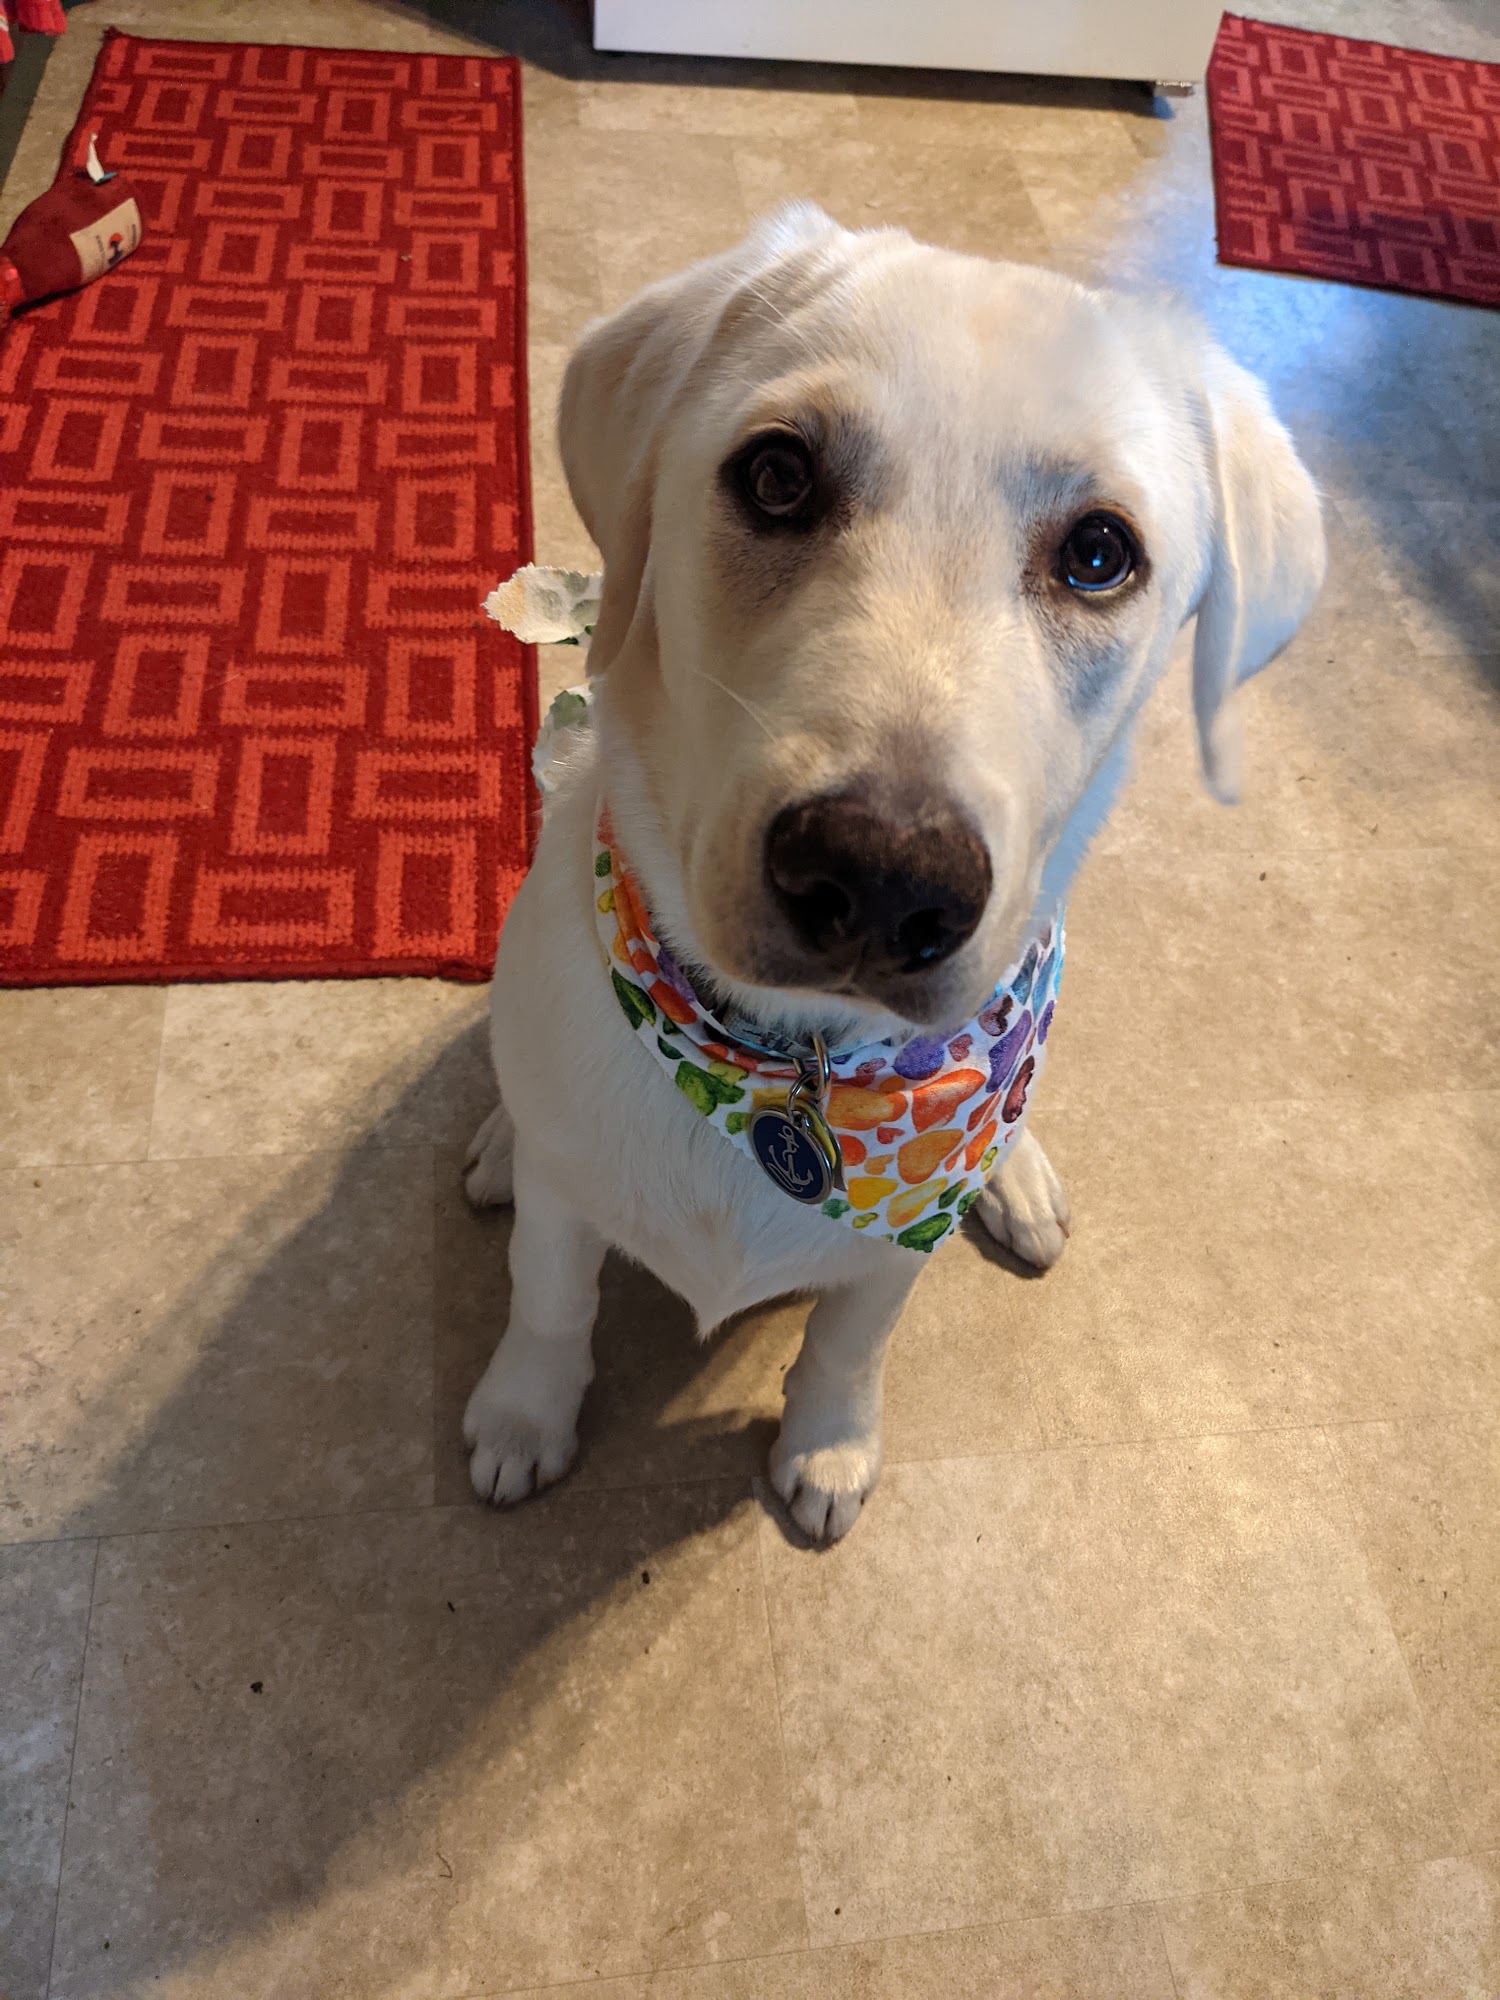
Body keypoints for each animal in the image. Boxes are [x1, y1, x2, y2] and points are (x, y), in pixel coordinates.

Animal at [462, 202, 1325, 1542]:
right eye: (776, 475)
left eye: (1099, 553)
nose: (878, 877)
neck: (796, 1065)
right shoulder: (565, 1215)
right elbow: (551, 1300)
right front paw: (521, 1416)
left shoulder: (893, 1246)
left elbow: (848, 1342)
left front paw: (826, 1445)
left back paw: (1017, 1175)